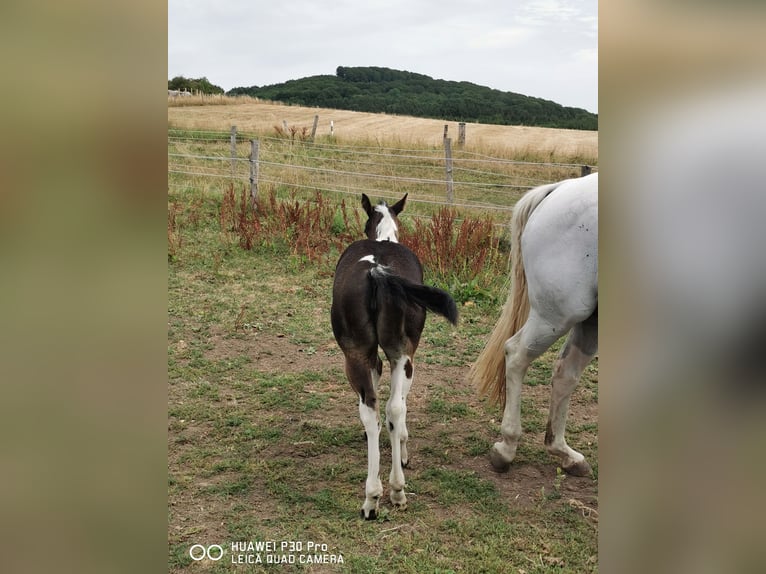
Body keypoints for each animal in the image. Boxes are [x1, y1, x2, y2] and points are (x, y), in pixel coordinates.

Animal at [332, 195, 460, 520]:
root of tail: (377, 271)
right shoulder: (399, 357)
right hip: (399, 355)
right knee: (390, 409)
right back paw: (390, 492)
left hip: (360, 356)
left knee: (375, 410)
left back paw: (376, 496)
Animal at [468, 173, 600, 480]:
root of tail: (561, 187)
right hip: (558, 315)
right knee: (517, 354)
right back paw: (506, 448)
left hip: (591, 319)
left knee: (565, 373)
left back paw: (565, 454)